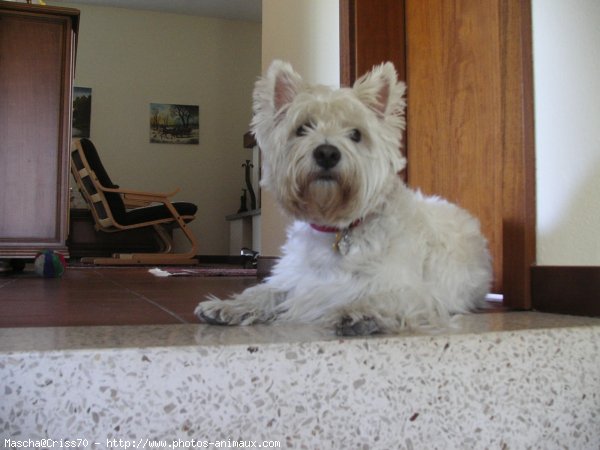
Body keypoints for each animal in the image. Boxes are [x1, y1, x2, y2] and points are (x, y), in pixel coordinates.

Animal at [197, 60, 492, 334]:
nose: (327, 153)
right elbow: (266, 291)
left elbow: (385, 297)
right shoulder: (296, 278)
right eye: (302, 128)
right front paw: (227, 306)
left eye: (356, 134)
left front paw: (359, 312)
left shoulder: (410, 289)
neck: (337, 229)